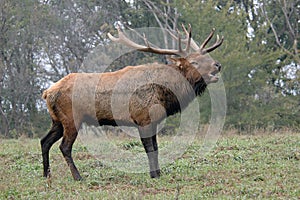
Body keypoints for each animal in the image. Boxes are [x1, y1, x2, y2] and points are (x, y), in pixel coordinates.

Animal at [40, 24, 223, 180]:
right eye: (194, 62)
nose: (217, 65)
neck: (166, 94)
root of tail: (47, 93)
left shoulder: (153, 121)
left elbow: (156, 148)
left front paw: (158, 173)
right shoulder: (143, 119)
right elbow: (149, 148)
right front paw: (154, 175)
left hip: (57, 121)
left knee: (44, 141)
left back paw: (47, 174)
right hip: (72, 118)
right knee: (64, 147)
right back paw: (77, 176)